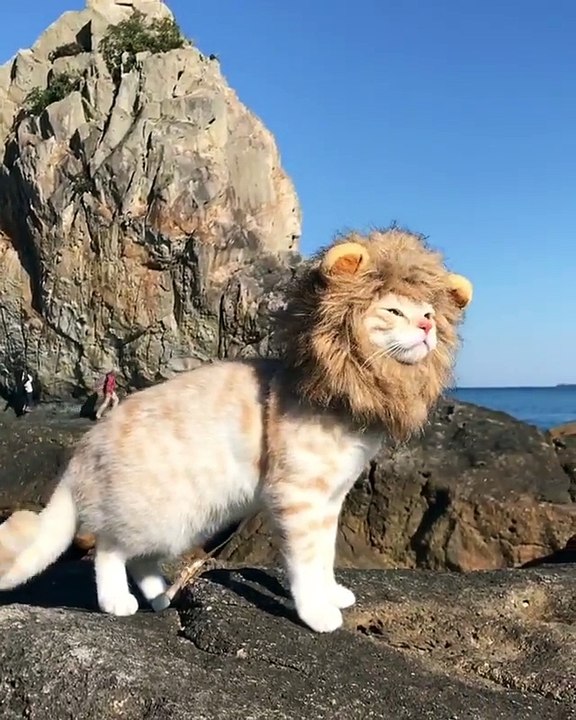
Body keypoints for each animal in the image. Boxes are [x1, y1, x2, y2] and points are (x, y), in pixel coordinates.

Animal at [0, 226, 472, 634]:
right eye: (394, 311)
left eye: (429, 313)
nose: (427, 326)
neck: (340, 395)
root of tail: (84, 448)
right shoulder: (298, 499)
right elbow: (305, 563)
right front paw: (316, 613)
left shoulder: (330, 502)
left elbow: (325, 557)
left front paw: (332, 593)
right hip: (153, 513)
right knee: (108, 550)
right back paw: (117, 601)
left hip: (185, 521)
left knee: (140, 561)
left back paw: (159, 597)